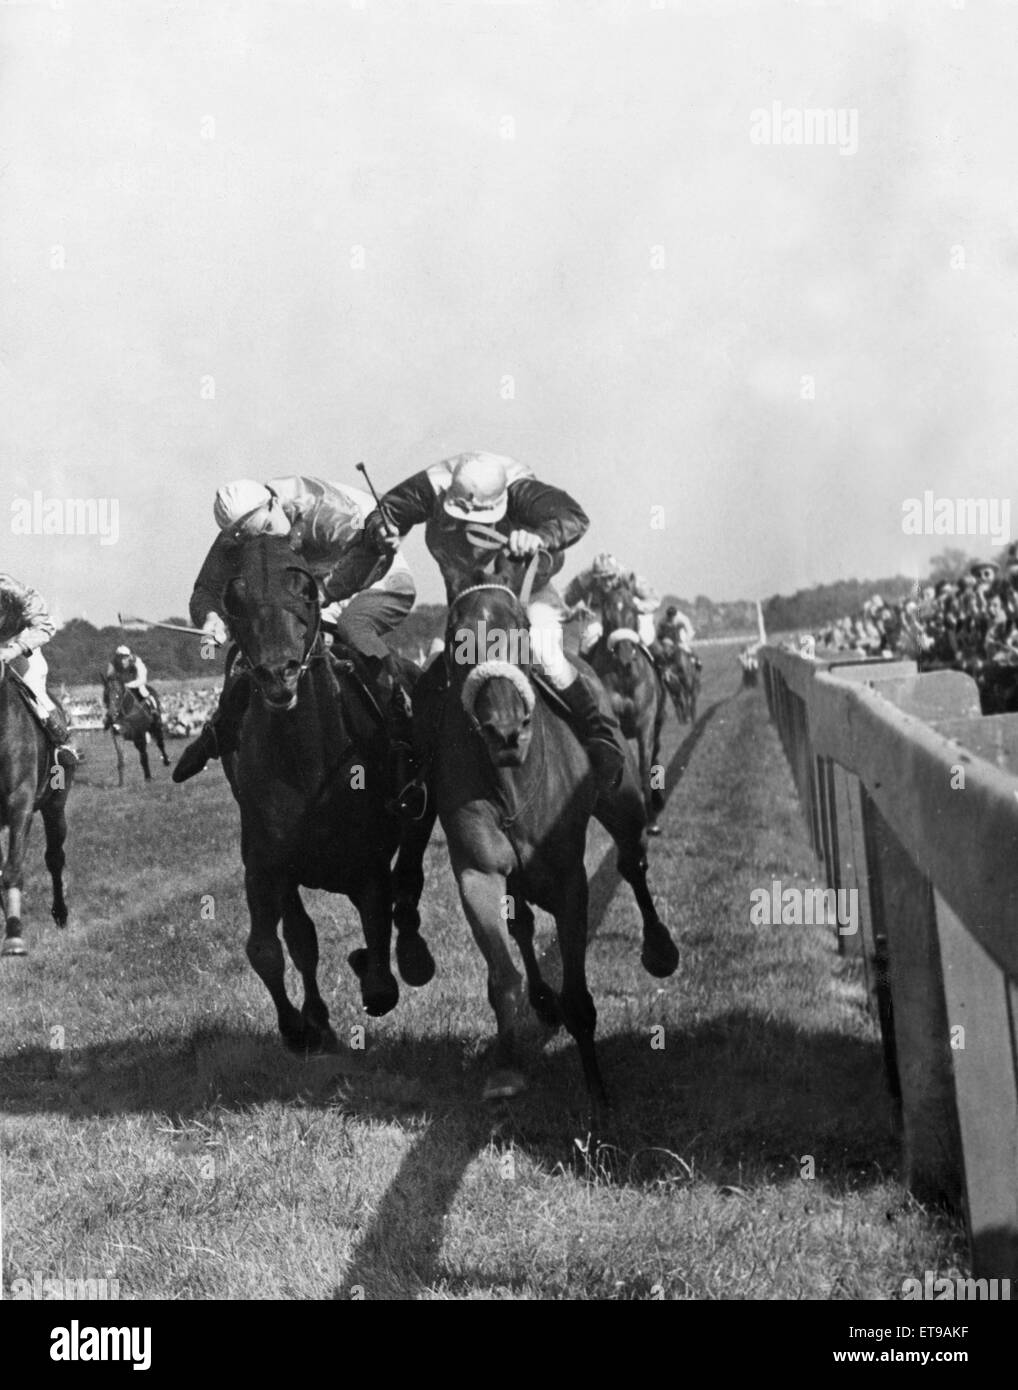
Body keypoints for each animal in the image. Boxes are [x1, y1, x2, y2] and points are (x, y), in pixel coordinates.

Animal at [212, 533, 436, 1050]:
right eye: (236, 598)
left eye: (305, 590)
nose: (279, 673)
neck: (306, 768)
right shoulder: (267, 864)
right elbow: (278, 945)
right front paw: (303, 1025)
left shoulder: (367, 867)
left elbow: (380, 977)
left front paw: (368, 966)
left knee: (408, 881)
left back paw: (414, 955)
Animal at [589, 586, 667, 834]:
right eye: (607, 616)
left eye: (633, 612)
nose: (624, 655)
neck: (625, 676)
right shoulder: (614, 723)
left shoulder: (646, 722)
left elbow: (643, 768)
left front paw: (651, 821)